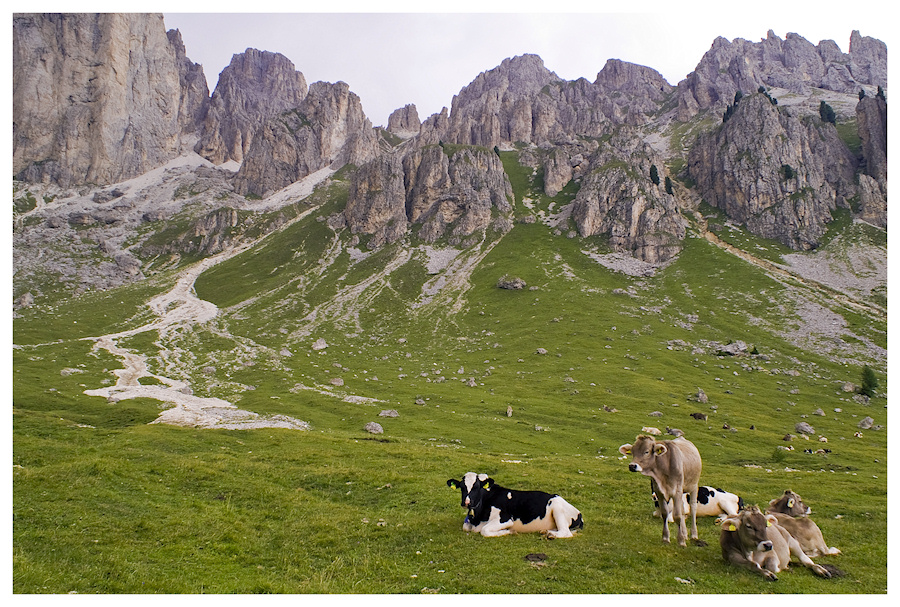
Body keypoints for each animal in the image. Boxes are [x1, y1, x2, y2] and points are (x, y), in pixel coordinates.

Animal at [444, 472, 584, 540]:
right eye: (462, 487)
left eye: (476, 486)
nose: (466, 502)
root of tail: (579, 513)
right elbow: (465, 527)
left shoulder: (505, 519)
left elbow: (485, 530)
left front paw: (509, 531)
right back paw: (546, 531)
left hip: (557, 508)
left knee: (566, 532)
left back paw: (550, 535)